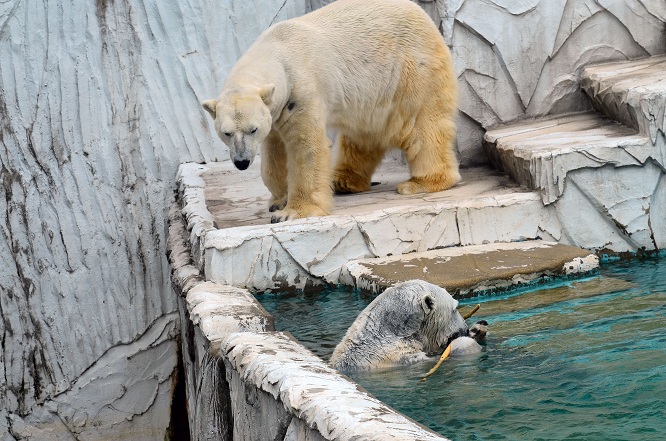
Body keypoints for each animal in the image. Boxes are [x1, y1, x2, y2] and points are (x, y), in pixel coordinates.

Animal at [201, 0, 456, 222]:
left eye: (252, 129)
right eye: (226, 133)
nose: (242, 162)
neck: (276, 50)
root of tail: (424, 16)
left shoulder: (302, 90)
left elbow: (306, 147)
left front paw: (292, 212)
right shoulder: (276, 109)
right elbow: (274, 152)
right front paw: (279, 200)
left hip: (412, 70)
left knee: (422, 128)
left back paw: (422, 182)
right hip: (374, 93)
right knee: (361, 135)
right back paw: (342, 181)